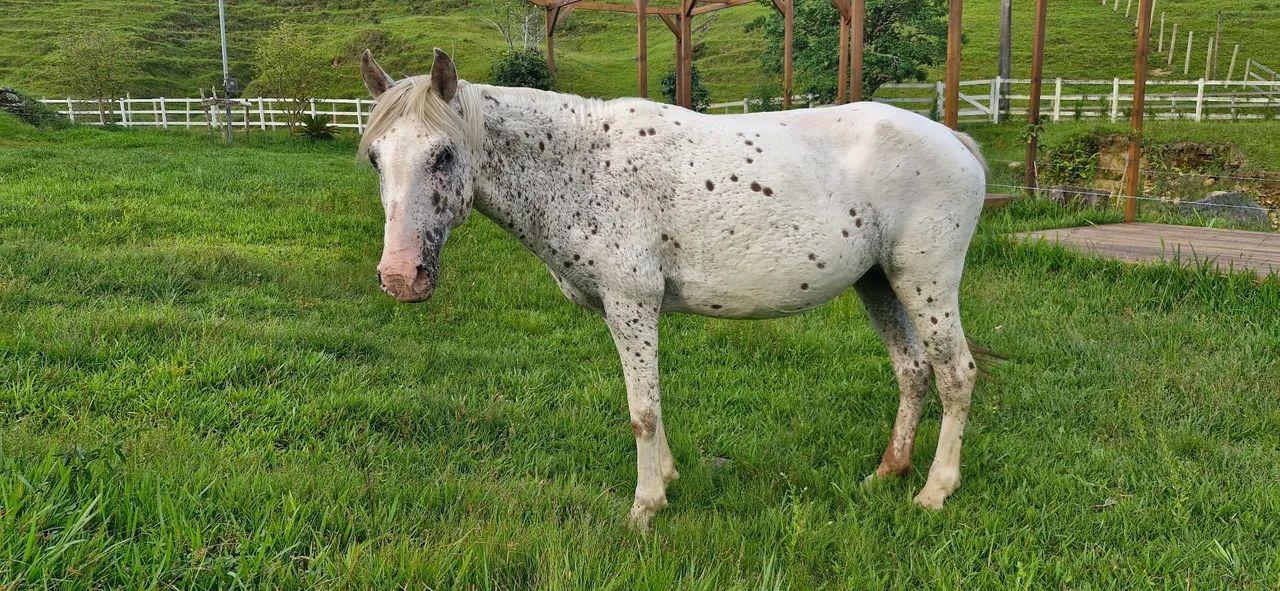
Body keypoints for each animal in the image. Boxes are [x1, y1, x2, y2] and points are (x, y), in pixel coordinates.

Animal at [357, 48, 988, 527]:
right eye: (375, 159)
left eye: (443, 155)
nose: (400, 277)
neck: (583, 167)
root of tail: (954, 141)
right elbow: (649, 406)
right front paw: (665, 479)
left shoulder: (632, 304)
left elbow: (642, 409)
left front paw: (645, 506)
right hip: (879, 283)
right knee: (913, 369)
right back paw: (887, 472)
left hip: (924, 281)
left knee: (956, 373)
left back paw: (935, 490)